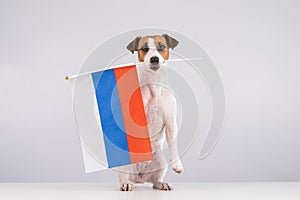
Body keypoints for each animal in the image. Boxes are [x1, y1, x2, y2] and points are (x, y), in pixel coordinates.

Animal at [116, 34, 183, 191]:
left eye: (162, 46)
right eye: (144, 48)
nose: (154, 59)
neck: (154, 83)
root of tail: (139, 178)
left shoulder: (171, 122)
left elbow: (173, 145)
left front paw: (177, 165)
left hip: (161, 163)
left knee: (155, 180)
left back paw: (162, 183)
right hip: (124, 165)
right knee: (123, 177)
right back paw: (126, 183)